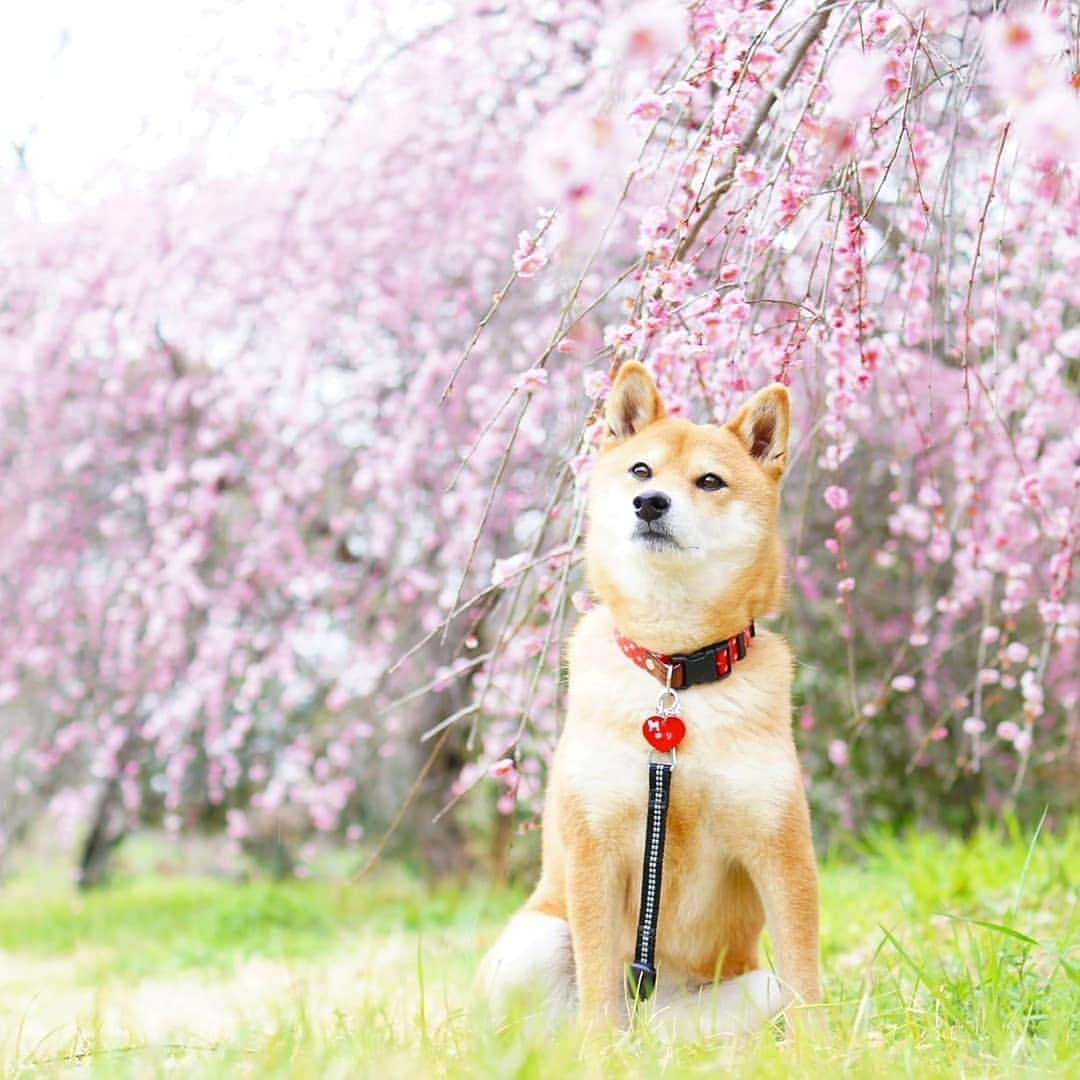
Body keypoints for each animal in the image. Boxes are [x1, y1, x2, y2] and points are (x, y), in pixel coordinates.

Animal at [477, 362, 820, 1036]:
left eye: (710, 480)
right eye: (641, 471)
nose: (650, 502)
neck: (675, 674)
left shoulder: (780, 845)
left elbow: (806, 976)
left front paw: (822, 1047)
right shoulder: (596, 847)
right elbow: (596, 982)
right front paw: (597, 1051)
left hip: (746, 992)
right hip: (533, 941)